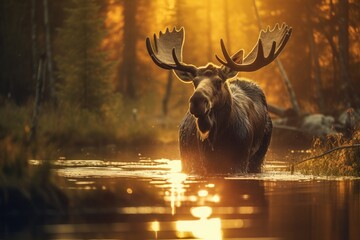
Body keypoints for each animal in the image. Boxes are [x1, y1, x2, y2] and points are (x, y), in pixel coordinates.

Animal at [146, 23, 292, 173]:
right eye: (194, 82)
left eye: (219, 81)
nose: (197, 100)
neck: (215, 142)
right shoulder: (193, 163)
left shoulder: (240, 161)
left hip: (260, 155)